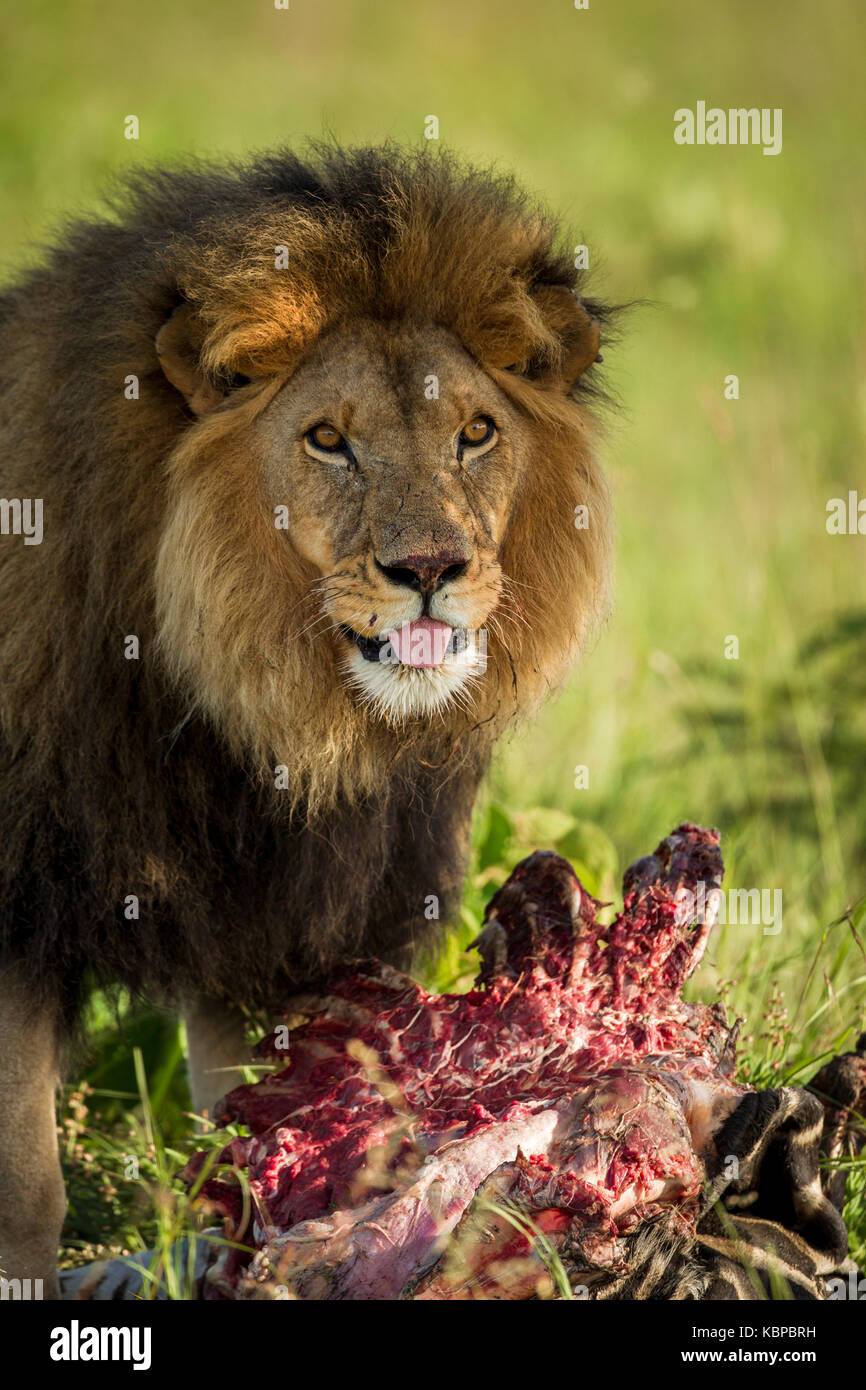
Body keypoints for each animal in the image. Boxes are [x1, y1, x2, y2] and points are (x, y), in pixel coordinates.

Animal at [0, 143, 617, 1289]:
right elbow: (26, 1184)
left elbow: (263, 1144)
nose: (429, 570)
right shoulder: (21, 900)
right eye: (328, 441)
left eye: (475, 433)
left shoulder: (287, 918)